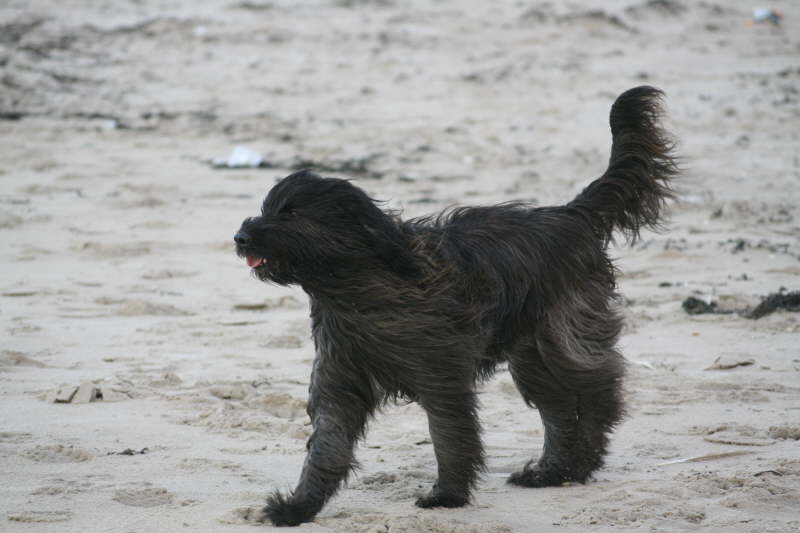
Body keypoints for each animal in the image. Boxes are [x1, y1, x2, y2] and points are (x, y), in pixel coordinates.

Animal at [234, 86, 680, 524]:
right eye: (266, 208)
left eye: (292, 212)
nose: (240, 237)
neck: (358, 288)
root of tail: (570, 215)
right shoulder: (341, 376)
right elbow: (328, 443)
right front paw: (299, 506)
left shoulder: (440, 373)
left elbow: (449, 434)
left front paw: (446, 495)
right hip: (531, 355)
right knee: (555, 408)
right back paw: (551, 471)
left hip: (564, 333)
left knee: (598, 391)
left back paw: (582, 462)